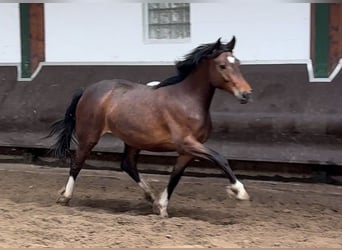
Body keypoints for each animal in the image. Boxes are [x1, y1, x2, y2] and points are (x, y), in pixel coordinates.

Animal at [48, 36, 251, 217]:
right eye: (222, 66)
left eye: (238, 63)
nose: (246, 94)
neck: (187, 100)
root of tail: (86, 91)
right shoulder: (187, 143)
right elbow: (220, 158)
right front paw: (238, 191)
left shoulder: (187, 151)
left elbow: (175, 177)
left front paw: (161, 207)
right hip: (89, 136)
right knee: (77, 162)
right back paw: (65, 196)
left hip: (133, 140)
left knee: (128, 164)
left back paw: (151, 197)